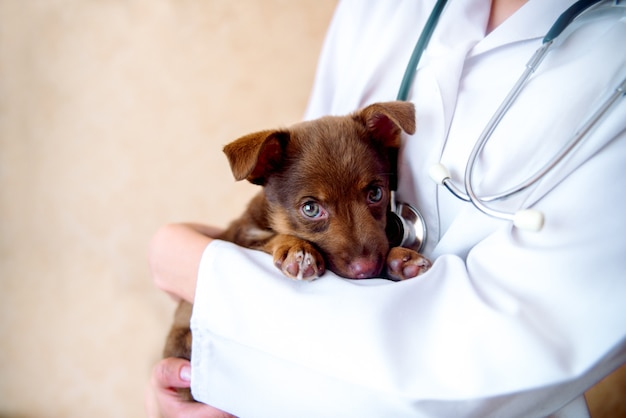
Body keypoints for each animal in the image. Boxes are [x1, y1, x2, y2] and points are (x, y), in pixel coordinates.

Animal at [162, 102, 428, 398]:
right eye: (310, 209)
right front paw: (297, 250)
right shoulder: (243, 236)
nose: (367, 269)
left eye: (376, 194)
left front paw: (400, 259)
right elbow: (272, 238)